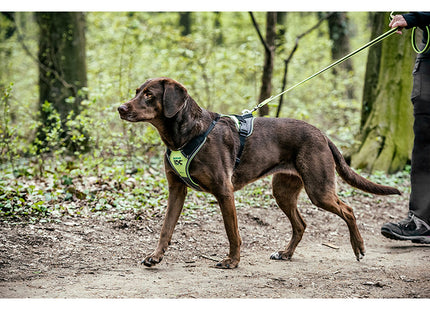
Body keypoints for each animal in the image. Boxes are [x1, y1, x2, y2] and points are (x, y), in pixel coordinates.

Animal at [117, 77, 400, 268]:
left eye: (149, 95)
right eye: (137, 92)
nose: (120, 108)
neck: (183, 136)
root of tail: (322, 134)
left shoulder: (224, 191)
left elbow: (233, 233)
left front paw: (232, 261)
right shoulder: (176, 190)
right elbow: (166, 228)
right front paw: (156, 256)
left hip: (318, 189)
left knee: (348, 210)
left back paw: (358, 247)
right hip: (283, 190)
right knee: (301, 224)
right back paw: (286, 254)